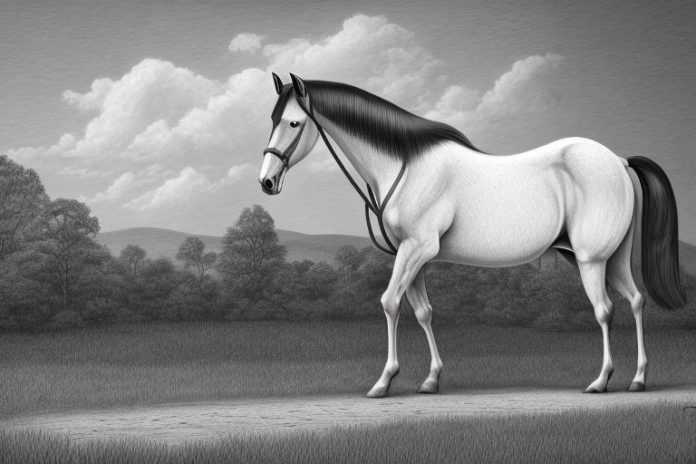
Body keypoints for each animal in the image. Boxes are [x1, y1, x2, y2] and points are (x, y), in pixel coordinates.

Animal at [258, 72, 686, 398]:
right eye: (273, 119)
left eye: (294, 123)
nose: (266, 182)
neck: (406, 165)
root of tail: (617, 160)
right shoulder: (415, 256)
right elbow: (423, 312)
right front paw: (431, 380)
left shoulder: (416, 249)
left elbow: (390, 303)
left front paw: (383, 382)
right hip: (613, 258)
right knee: (635, 301)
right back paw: (638, 379)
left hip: (591, 259)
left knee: (605, 310)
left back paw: (600, 381)